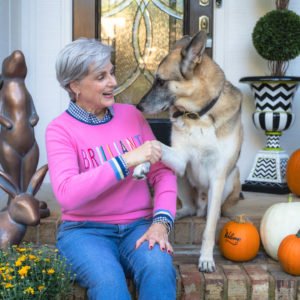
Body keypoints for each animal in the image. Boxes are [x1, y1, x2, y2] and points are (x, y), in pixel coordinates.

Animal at [135, 30, 243, 272]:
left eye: (161, 81)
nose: (138, 107)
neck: (199, 115)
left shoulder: (218, 176)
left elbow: (209, 230)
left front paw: (206, 258)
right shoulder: (180, 159)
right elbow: (154, 145)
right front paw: (141, 164)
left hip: (231, 180)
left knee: (211, 212)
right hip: (179, 175)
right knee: (189, 208)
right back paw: (178, 213)